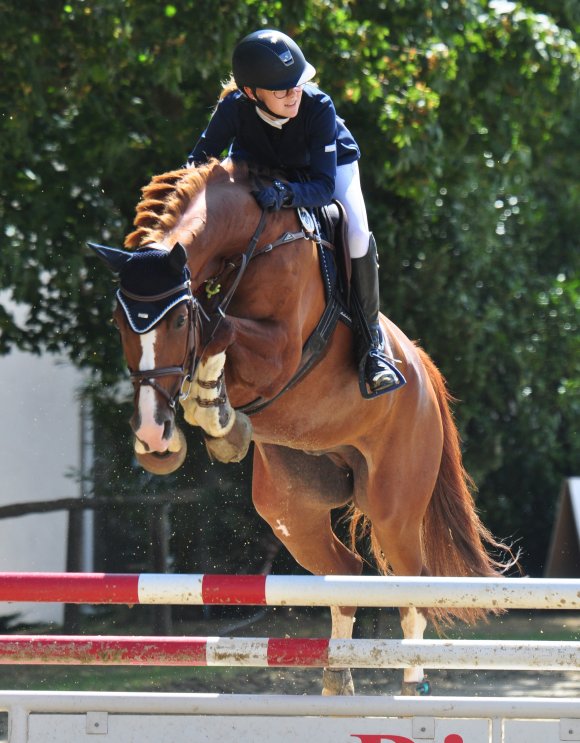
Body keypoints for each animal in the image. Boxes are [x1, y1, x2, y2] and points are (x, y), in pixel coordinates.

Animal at [90, 157, 512, 696]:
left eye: (177, 322)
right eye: (119, 322)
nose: (149, 431)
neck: (250, 241)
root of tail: (421, 368)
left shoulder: (280, 352)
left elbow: (218, 327)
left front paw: (216, 415)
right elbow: (214, 338)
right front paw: (202, 427)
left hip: (394, 507)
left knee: (412, 589)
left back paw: (410, 690)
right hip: (290, 507)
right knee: (347, 573)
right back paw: (337, 680)